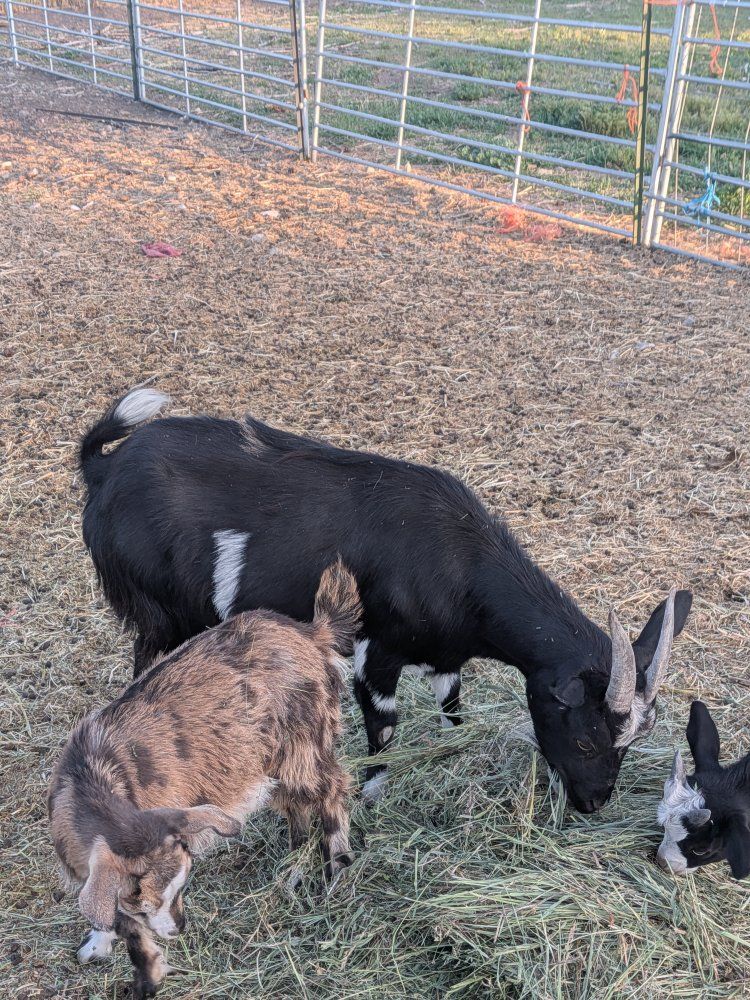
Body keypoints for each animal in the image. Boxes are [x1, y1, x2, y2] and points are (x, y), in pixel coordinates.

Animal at [48, 560, 360, 999]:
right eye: (141, 902)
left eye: (182, 886)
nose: (179, 929)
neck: (92, 779)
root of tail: (313, 633)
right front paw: (99, 943)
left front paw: (148, 976)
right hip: (264, 760)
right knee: (295, 803)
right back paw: (294, 859)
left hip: (304, 743)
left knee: (331, 790)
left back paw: (337, 866)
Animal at [79, 388, 693, 814]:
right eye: (587, 739)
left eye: (630, 743)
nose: (593, 804)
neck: (458, 564)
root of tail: (104, 466)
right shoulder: (375, 653)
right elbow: (384, 726)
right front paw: (372, 793)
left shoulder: (446, 658)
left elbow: (452, 708)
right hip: (161, 613)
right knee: (146, 669)